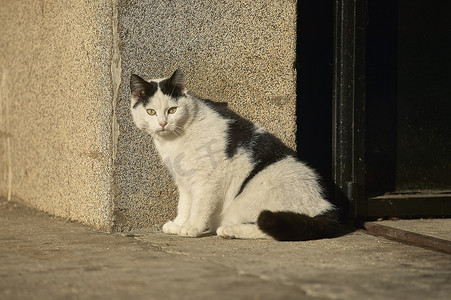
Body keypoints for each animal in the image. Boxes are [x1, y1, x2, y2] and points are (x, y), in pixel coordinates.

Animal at [129, 69, 338, 240]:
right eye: (150, 112)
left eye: (172, 110)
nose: (163, 123)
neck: (173, 140)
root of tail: (325, 206)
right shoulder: (184, 180)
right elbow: (185, 203)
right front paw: (179, 223)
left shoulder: (208, 179)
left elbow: (199, 205)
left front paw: (192, 227)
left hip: (257, 193)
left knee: (265, 227)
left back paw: (229, 230)